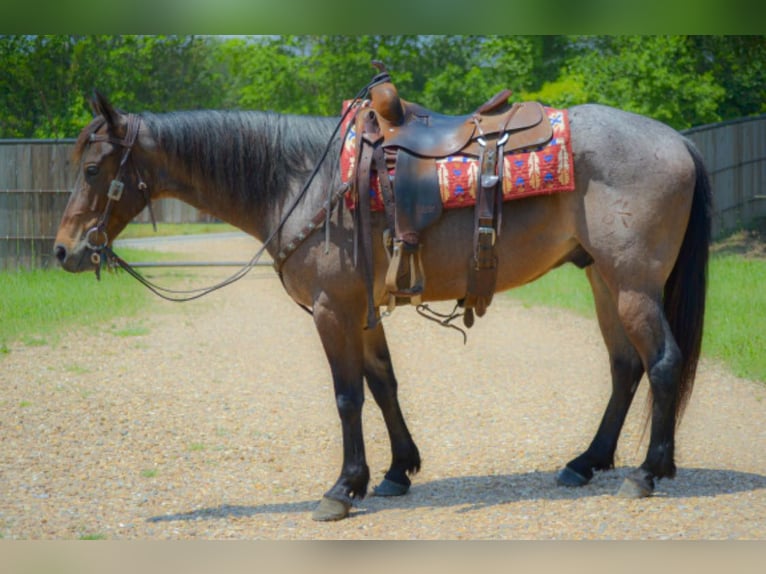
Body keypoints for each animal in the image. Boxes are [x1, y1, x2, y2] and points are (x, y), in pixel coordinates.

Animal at [54, 89, 712, 520]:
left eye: (94, 168)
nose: (64, 251)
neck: (304, 180)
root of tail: (677, 140)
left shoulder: (333, 310)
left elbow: (348, 397)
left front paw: (343, 489)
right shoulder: (363, 310)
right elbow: (384, 384)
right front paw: (395, 472)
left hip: (632, 284)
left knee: (662, 364)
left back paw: (647, 473)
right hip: (604, 279)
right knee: (625, 368)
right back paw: (586, 462)